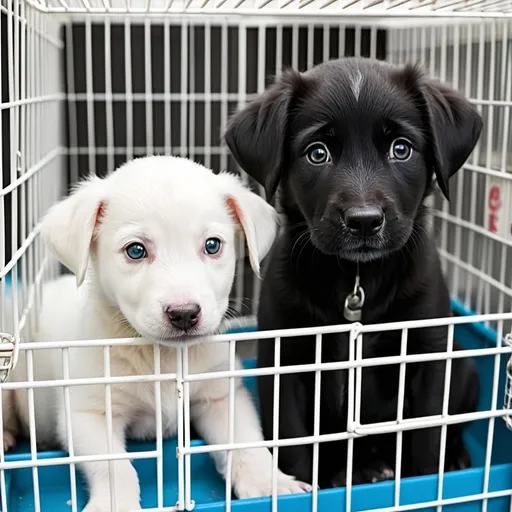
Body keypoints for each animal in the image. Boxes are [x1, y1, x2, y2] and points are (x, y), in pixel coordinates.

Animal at [3, 157, 308, 512]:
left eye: (213, 245)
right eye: (135, 251)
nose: (185, 313)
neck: (162, 356)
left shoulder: (221, 396)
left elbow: (245, 441)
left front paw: (270, 483)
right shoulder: (89, 413)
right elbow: (114, 466)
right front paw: (115, 504)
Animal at [226, 58, 482, 490]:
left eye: (401, 149)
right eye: (317, 153)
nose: (364, 221)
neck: (357, 280)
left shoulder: (428, 353)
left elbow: (427, 439)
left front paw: (427, 481)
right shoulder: (286, 361)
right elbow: (294, 442)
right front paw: (297, 487)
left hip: (462, 364)